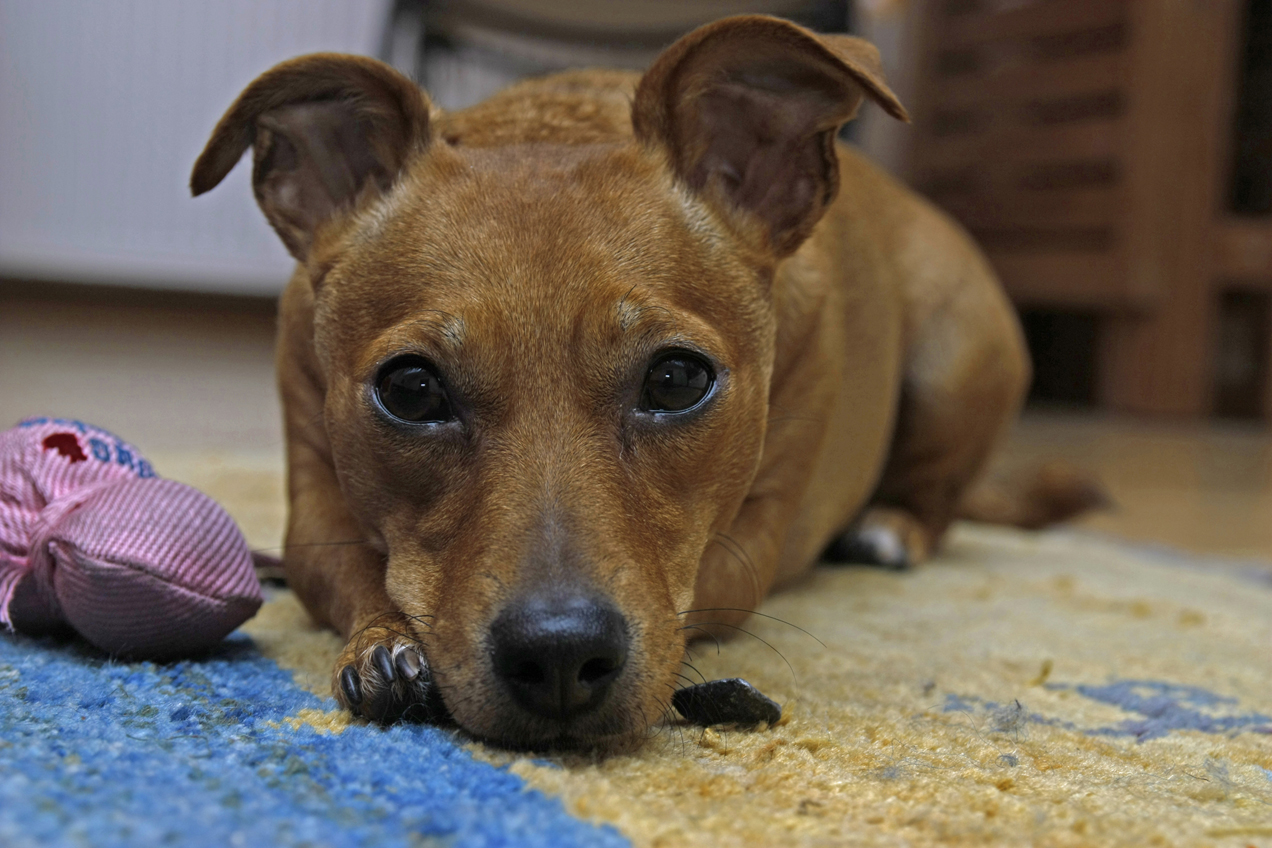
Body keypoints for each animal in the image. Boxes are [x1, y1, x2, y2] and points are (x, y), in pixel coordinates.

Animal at [191, 15, 1098, 749]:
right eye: (410, 389)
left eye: (677, 378)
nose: (559, 657)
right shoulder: (311, 510)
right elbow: (348, 567)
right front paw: (386, 642)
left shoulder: (750, 542)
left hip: (957, 360)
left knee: (938, 495)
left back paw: (890, 528)